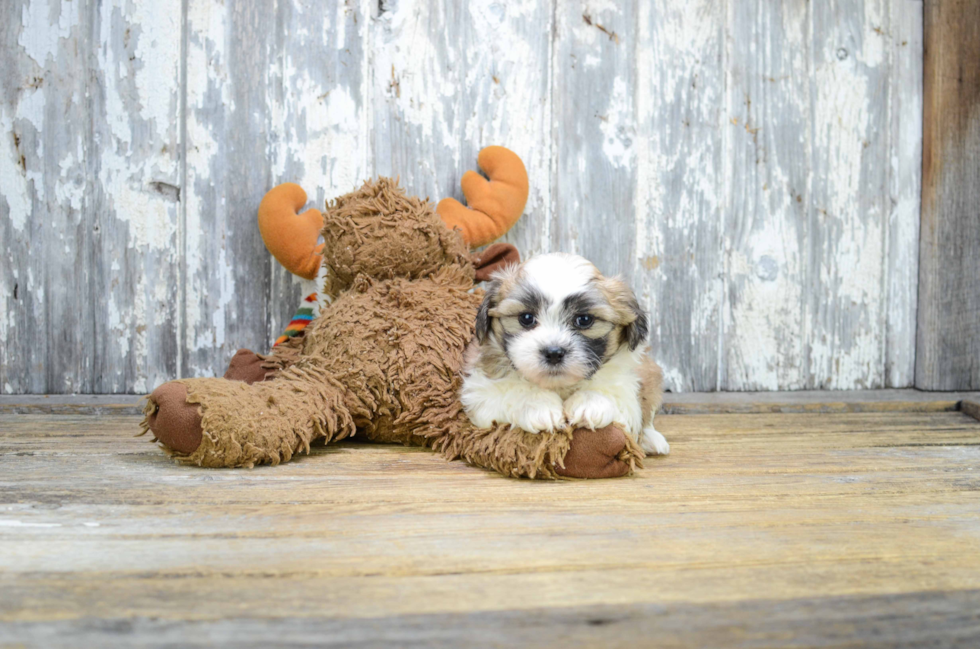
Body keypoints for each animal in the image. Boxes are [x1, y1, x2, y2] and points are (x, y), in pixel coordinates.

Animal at [464, 251, 668, 454]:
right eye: (526, 318)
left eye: (584, 320)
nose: (554, 353)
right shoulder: (479, 391)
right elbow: (509, 390)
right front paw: (538, 405)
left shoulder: (629, 384)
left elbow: (615, 392)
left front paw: (590, 403)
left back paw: (651, 439)